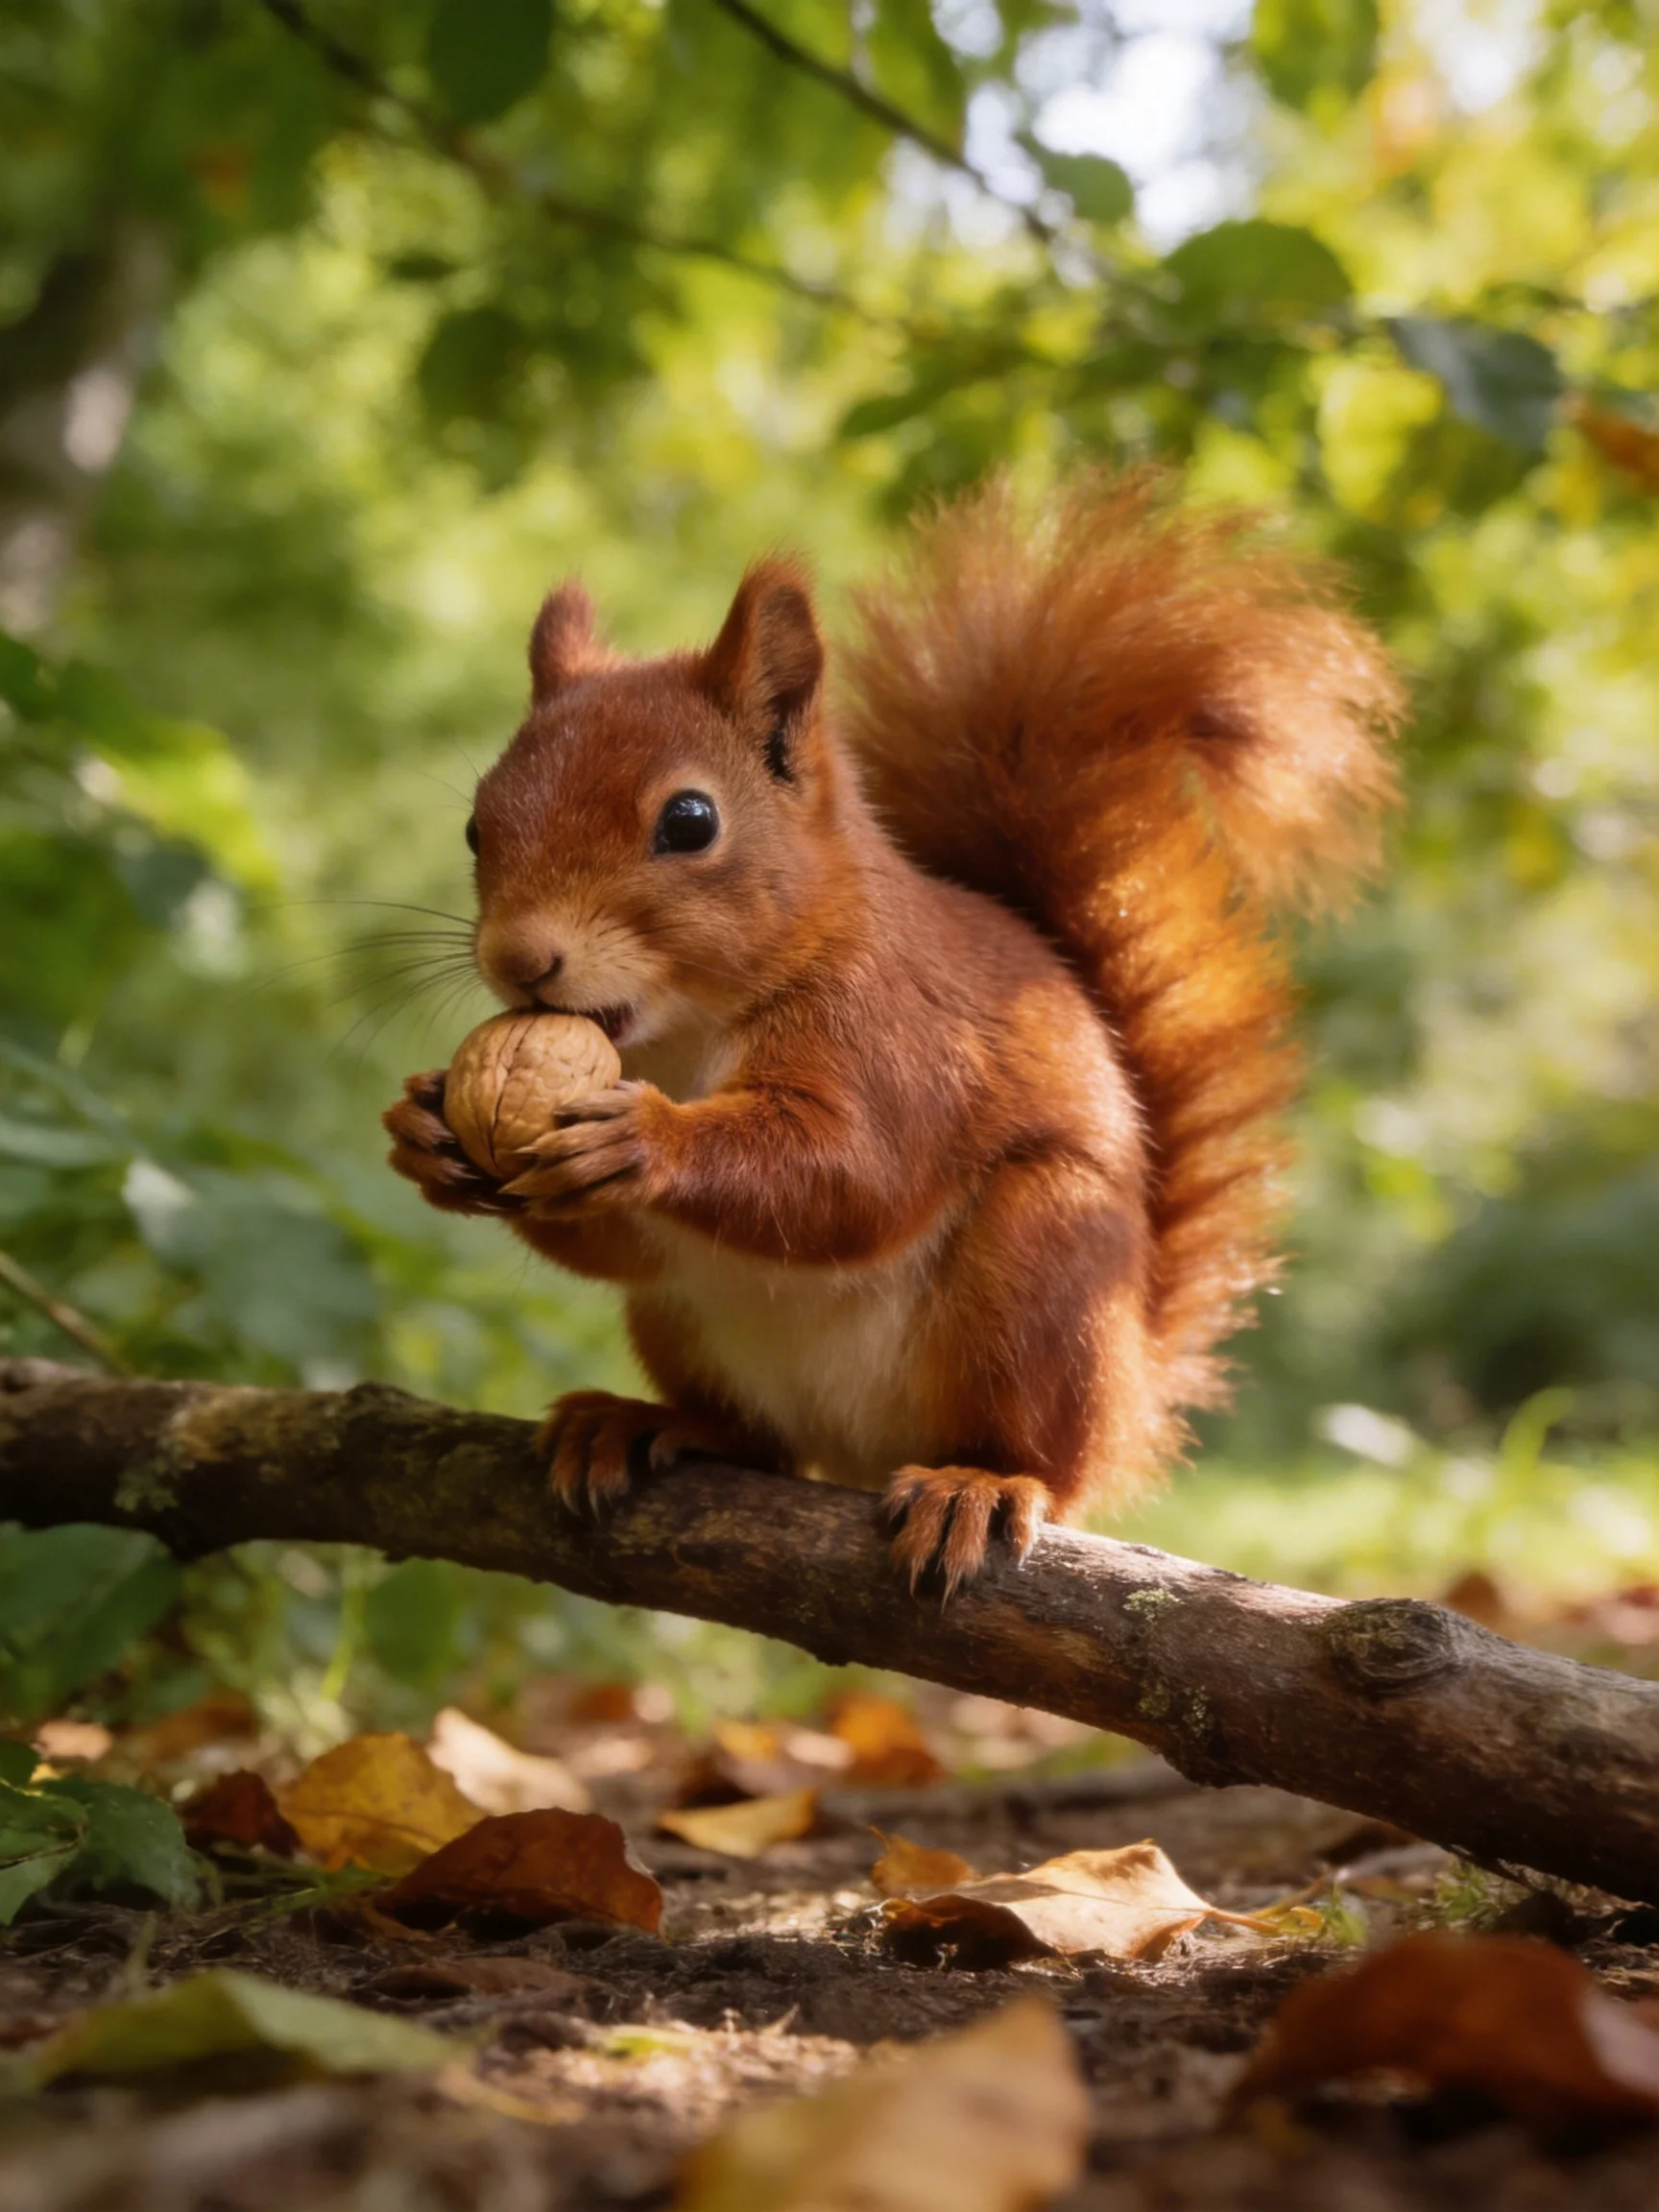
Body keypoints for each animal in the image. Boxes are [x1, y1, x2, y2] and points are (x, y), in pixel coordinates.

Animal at [385, 471, 1402, 1593]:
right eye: (476, 824)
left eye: (690, 821)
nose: (521, 959)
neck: (685, 1033)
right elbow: (615, 1244)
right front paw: (424, 1131)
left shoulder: (900, 1041)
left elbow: (855, 1176)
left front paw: (646, 1139)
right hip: (683, 1322)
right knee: (755, 1436)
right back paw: (649, 1424)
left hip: (1041, 1267)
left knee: (1049, 1461)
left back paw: (982, 1484)